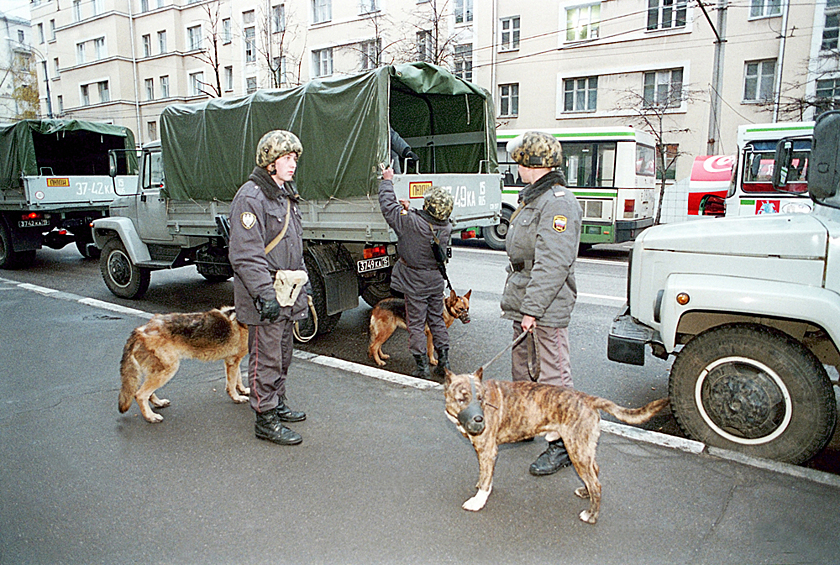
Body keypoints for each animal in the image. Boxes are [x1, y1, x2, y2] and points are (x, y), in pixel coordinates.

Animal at [118, 306, 249, 420]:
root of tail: (139, 330)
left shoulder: (234, 361)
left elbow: (238, 379)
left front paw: (243, 391)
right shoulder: (233, 361)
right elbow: (232, 384)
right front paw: (237, 398)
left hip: (156, 372)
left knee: (147, 393)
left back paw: (158, 403)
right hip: (168, 371)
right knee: (140, 395)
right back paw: (151, 417)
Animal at [440, 368, 668, 524]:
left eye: (480, 398)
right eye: (462, 399)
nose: (479, 420)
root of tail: (588, 398)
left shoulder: (488, 450)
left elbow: (486, 479)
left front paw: (478, 500)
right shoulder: (484, 452)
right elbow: (485, 475)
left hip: (576, 449)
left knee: (596, 484)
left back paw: (591, 515)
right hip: (585, 449)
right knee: (595, 472)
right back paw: (586, 493)